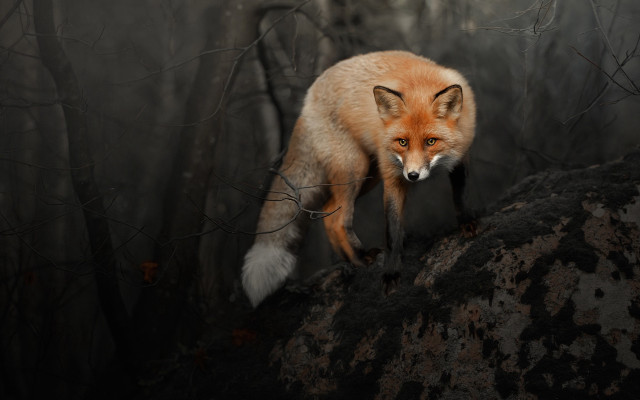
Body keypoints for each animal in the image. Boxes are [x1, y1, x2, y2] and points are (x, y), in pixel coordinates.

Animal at [242, 50, 476, 307]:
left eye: (431, 141)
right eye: (403, 142)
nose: (413, 175)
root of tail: (308, 99)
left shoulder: (460, 156)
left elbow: (461, 194)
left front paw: (467, 223)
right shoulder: (393, 176)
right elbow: (393, 232)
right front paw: (391, 274)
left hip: (367, 175)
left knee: (328, 212)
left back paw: (351, 262)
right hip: (354, 169)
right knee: (338, 219)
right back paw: (361, 259)